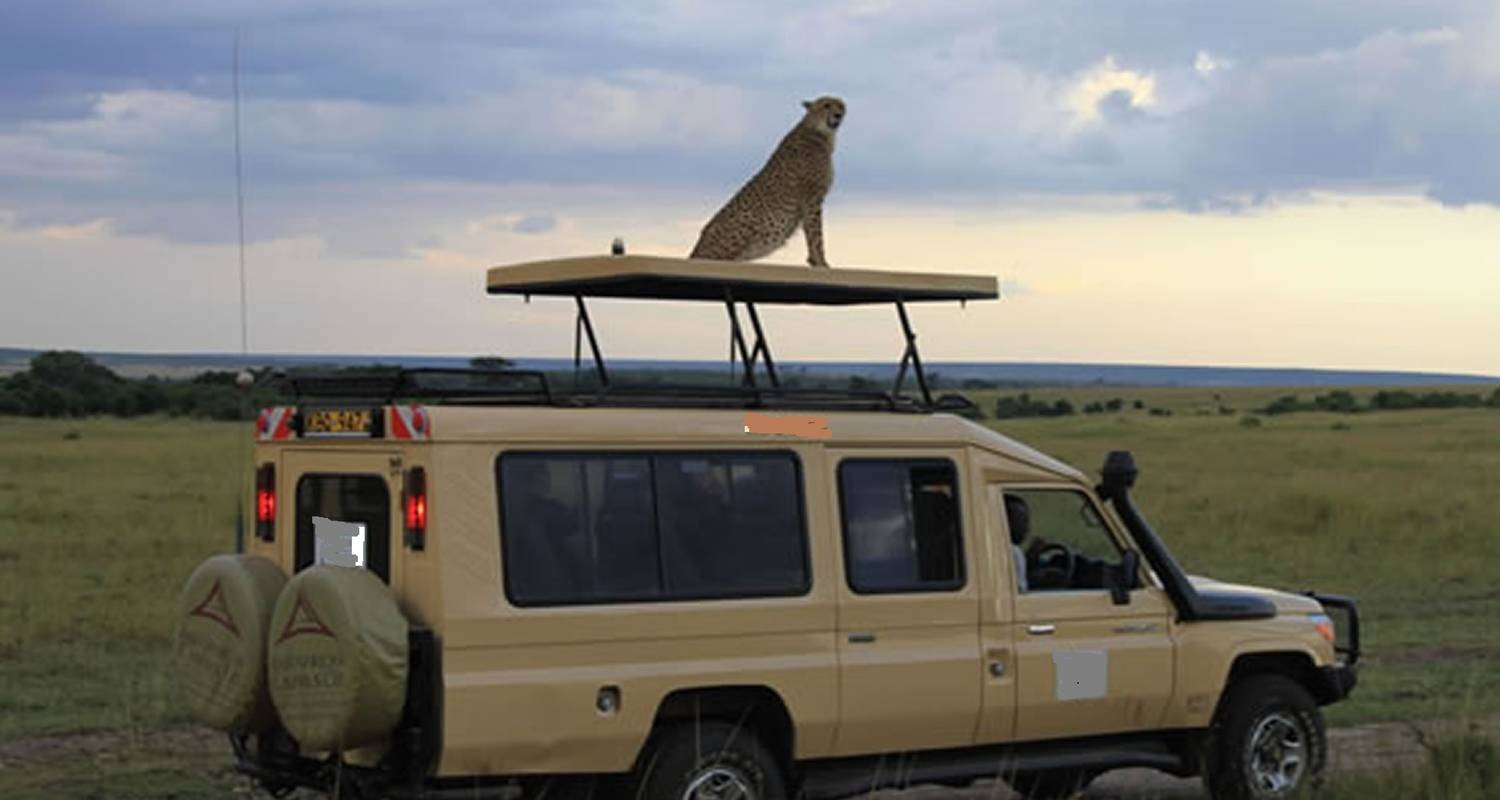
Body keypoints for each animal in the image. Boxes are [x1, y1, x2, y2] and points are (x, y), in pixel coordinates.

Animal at [690, 93, 846, 268]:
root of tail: (697, 247)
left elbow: (810, 232)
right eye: (826, 105)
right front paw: (821, 262)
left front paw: (814, 260)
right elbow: (815, 235)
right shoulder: (812, 197)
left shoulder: (810, 200)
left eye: (841, 106)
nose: (838, 115)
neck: (816, 130)